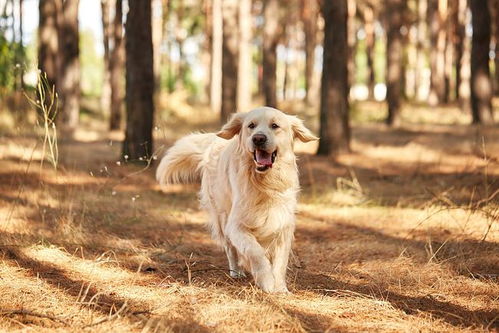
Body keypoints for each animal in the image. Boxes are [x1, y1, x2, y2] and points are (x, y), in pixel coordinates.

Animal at [156, 106, 318, 290]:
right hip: (222, 217)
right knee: (230, 249)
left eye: (275, 125)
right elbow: (255, 251)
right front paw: (266, 281)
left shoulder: (283, 224)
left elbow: (280, 262)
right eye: (251, 126)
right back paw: (236, 272)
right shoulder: (236, 225)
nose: (258, 138)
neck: (264, 183)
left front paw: (280, 287)